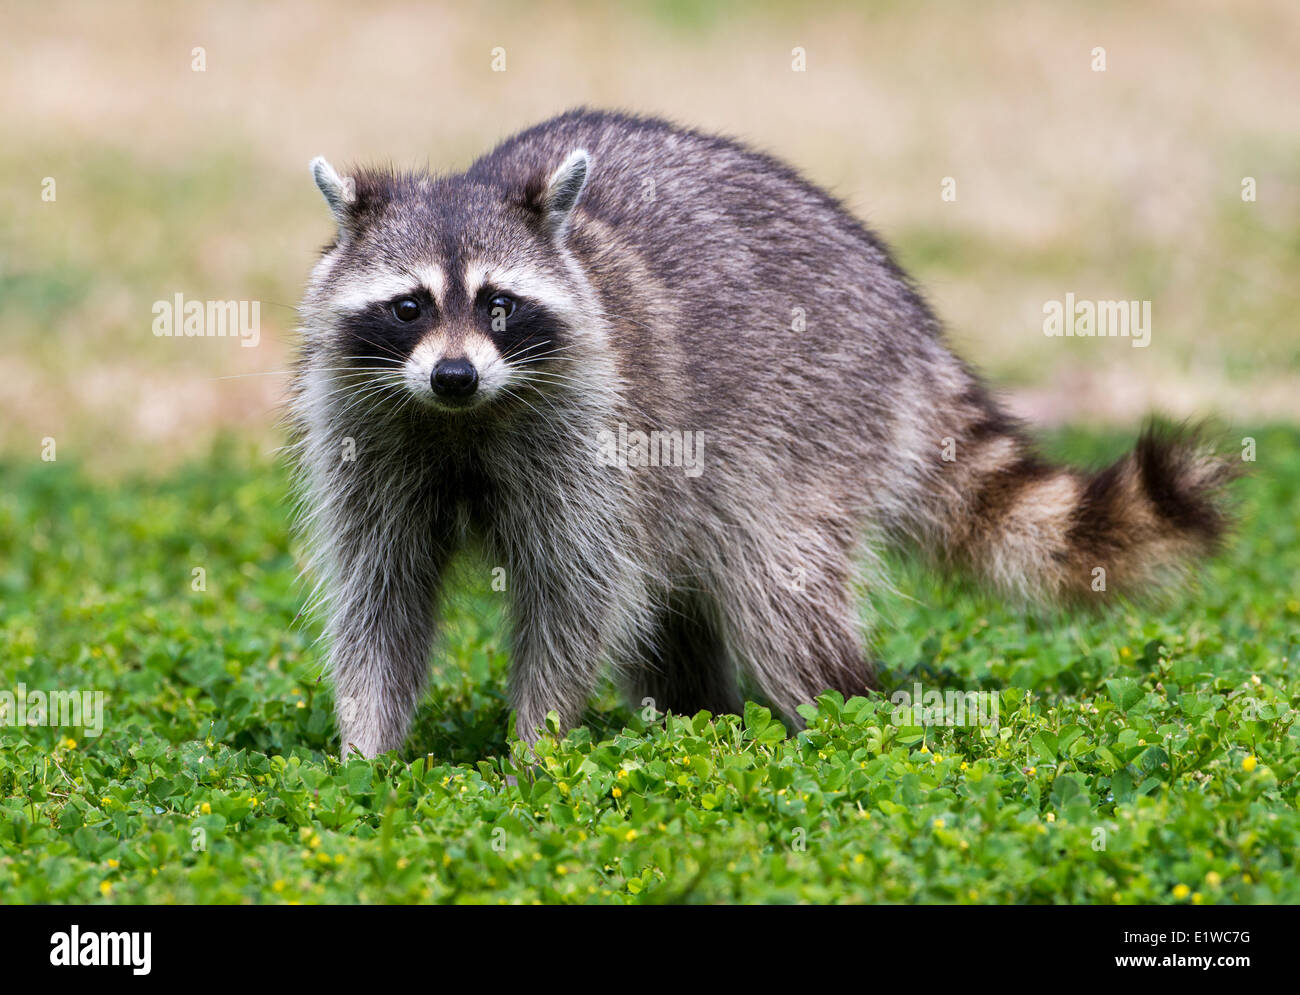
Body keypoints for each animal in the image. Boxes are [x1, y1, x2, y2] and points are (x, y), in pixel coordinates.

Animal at [295, 108, 1237, 754]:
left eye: (499, 304)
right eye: (410, 305)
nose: (454, 374)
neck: (462, 420)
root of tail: (903, 313)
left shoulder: (594, 433)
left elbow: (575, 592)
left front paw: (538, 741)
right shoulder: (368, 434)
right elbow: (379, 593)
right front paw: (369, 748)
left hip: (813, 415)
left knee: (780, 596)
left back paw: (845, 718)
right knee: (677, 609)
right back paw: (698, 715)